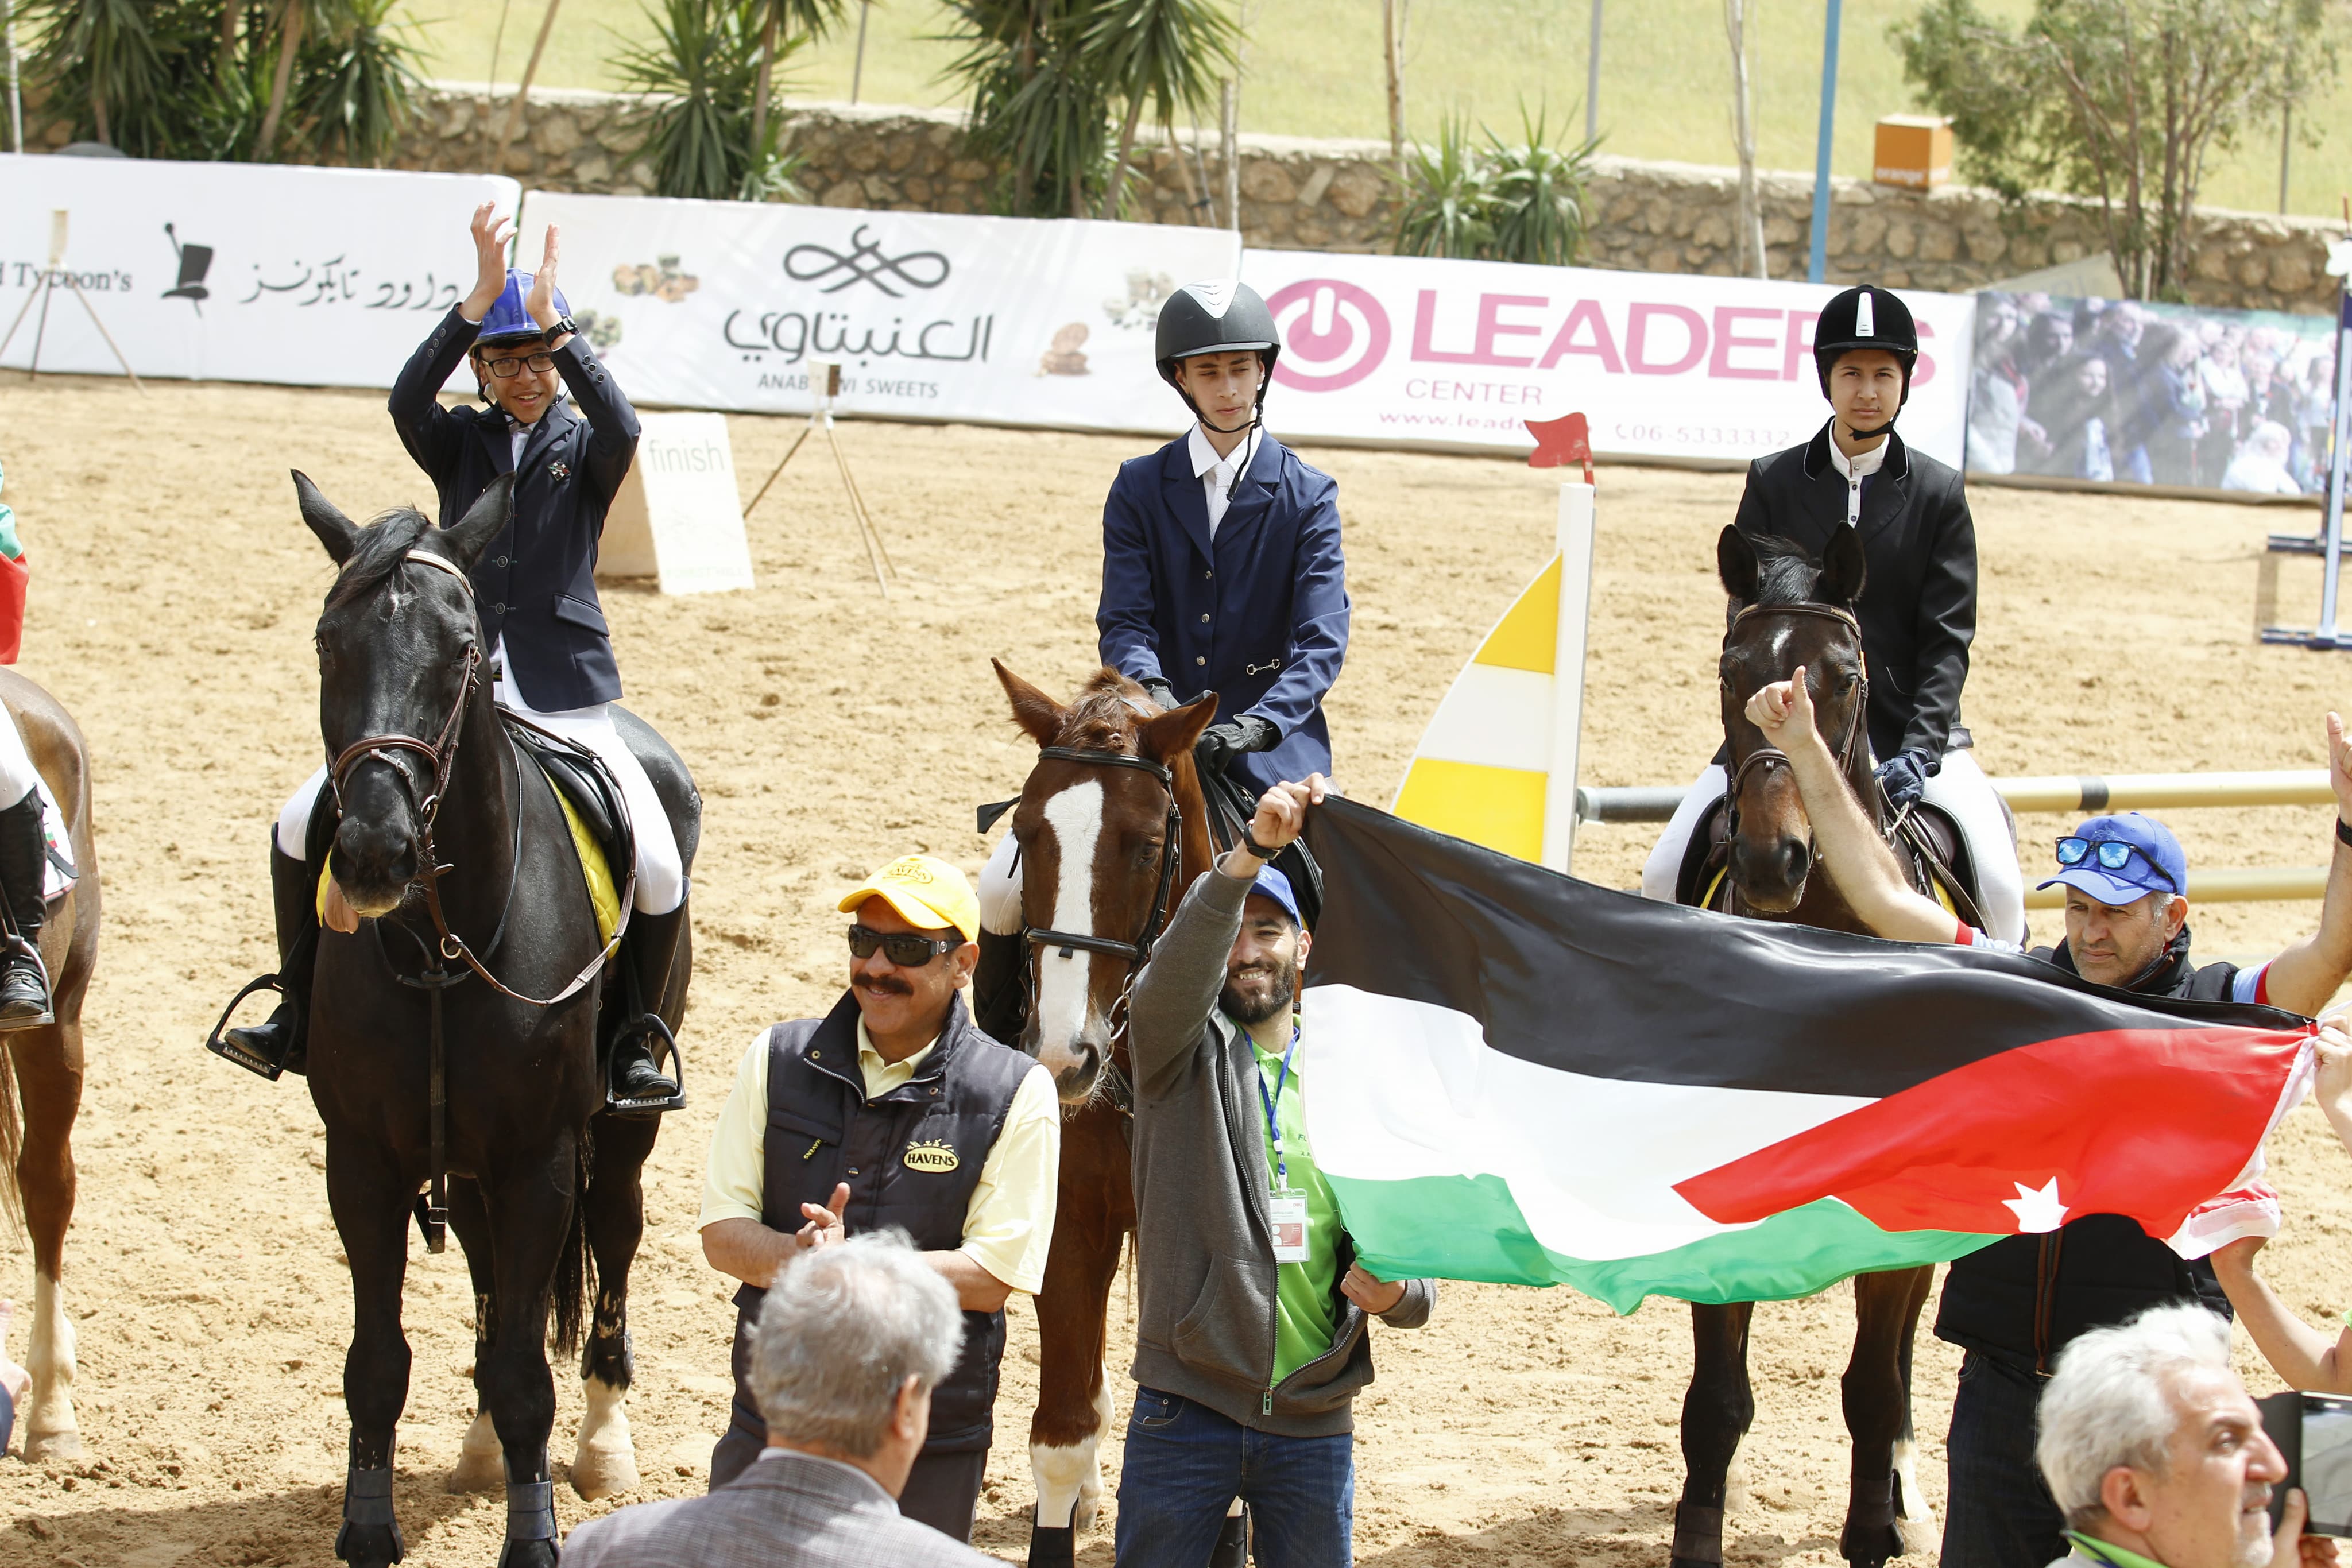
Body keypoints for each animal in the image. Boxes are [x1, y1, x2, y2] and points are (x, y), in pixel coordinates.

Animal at [288, 471, 696, 1567]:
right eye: (328, 642)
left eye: (462, 648)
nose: (373, 853)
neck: (441, 944)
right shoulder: (364, 1158)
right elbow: (378, 1361)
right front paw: (368, 1527)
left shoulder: (537, 1160)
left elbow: (525, 1373)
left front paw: (534, 1536)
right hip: (463, 1162)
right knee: (481, 1270)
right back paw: (476, 1451)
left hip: (618, 1129)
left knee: (616, 1238)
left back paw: (603, 1445)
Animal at [1668, 521, 1965, 1568]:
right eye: (1730, 671)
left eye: (1844, 676)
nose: (1773, 860)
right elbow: (1717, 1401)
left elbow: (1874, 1384)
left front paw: (1873, 1526)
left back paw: (1905, 1489)